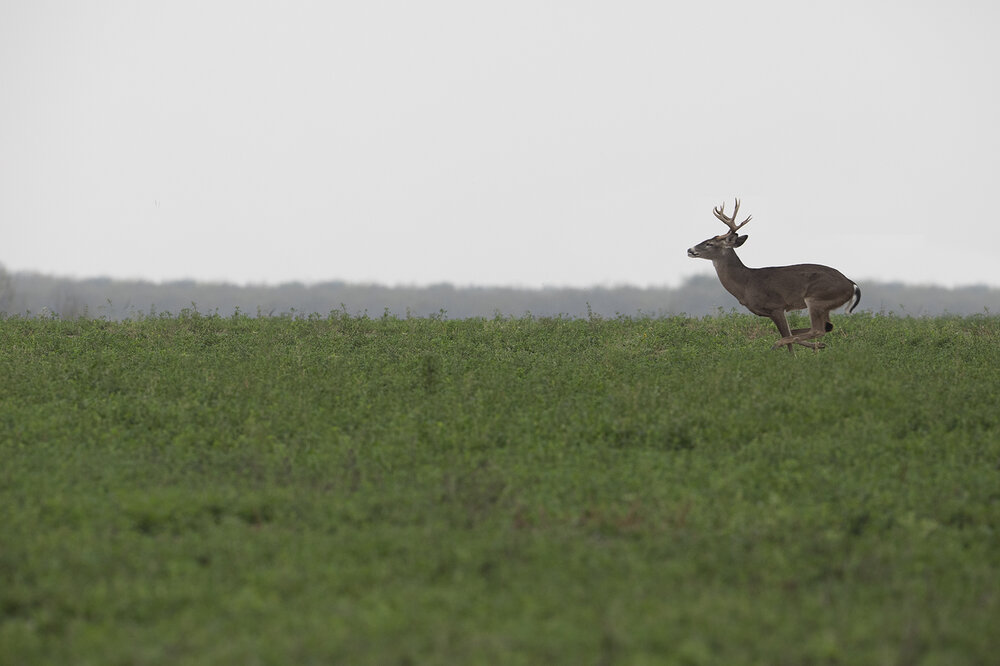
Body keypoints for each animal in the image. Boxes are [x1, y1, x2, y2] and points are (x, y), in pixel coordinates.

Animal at [686, 199, 861, 352]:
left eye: (709, 243)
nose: (689, 249)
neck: (746, 283)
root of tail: (851, 284)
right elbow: (789, 332)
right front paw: (818, 346)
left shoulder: (776, 306)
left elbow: (787, 337)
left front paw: (792, 357)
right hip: (824, 305)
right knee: (826, 327)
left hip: (816, 298)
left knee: (817, 329)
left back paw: (777, 344)